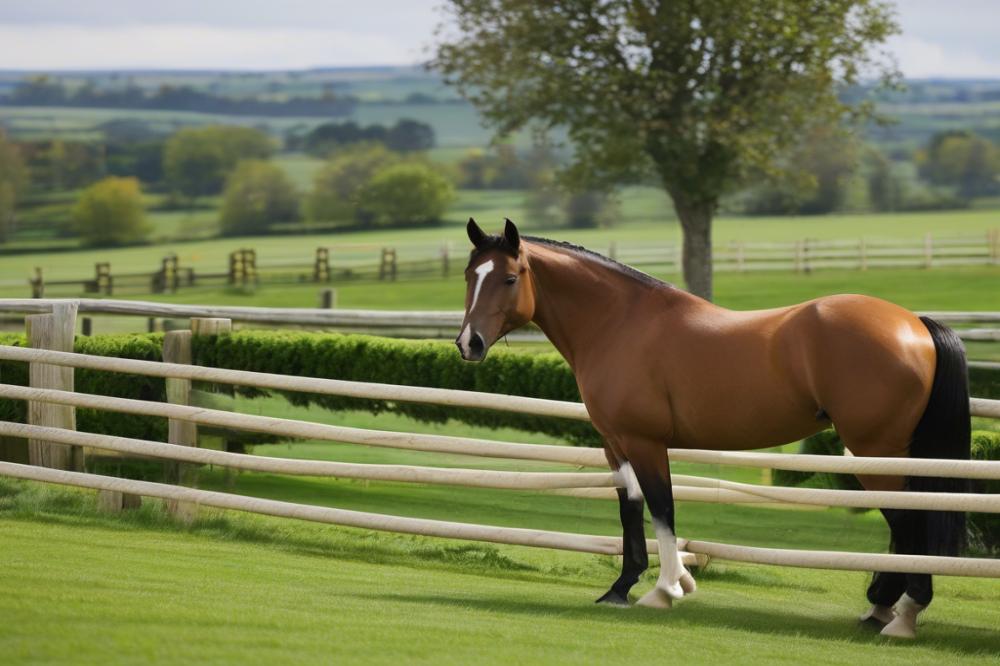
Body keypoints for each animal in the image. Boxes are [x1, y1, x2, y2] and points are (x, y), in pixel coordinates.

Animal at [456, 218, 968, 640]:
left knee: (911, 519)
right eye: (469, 276)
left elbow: (662, 508)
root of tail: (913, 323)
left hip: (875, 450)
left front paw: (664, 591)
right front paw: (623, 587)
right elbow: (630, 509)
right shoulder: (615, 443)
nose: (469, 344)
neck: (620, 323)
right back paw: (881, 610)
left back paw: (902, 615)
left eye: (509, 278)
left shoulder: (646, 442)